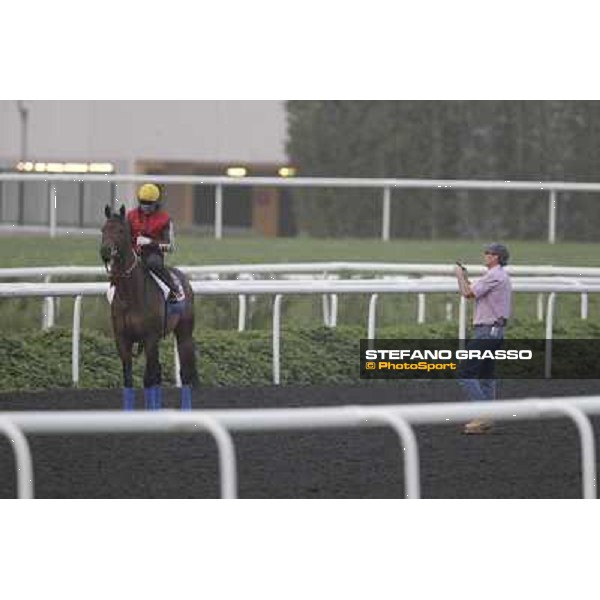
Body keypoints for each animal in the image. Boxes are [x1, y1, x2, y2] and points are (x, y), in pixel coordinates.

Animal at [99, 204, 198, 410]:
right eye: (103, 229)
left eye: (121, 230)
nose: (105, 251)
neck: (130, 294)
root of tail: (183, 278)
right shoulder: (123, 339)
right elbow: (129, 379)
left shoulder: (150, 337)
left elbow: (147, 379)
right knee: (158, 371)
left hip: (184, 333)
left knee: (185, 373)